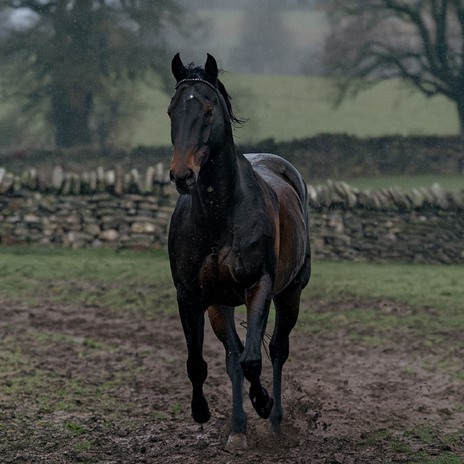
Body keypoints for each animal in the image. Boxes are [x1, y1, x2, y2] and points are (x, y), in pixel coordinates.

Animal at [168, 53, 312, 450]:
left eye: (208, 110)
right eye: (171, 110)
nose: (182, 175)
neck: (220, 214)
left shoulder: (258, 287)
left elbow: (253, 361)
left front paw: (263, 403)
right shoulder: (191, 295)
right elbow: (199, 362)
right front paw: (202, 413)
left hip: (291, 293)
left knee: (276, 350)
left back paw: (274, 420)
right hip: (220, 305)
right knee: (233, 357)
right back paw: (237, 428)